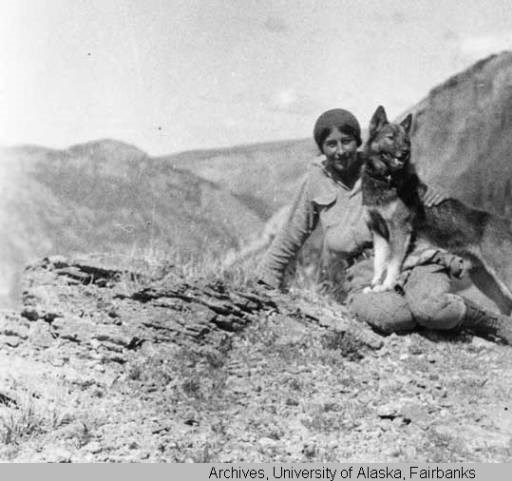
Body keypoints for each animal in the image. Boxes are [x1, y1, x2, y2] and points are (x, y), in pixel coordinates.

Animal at [362, 106, 512, 316]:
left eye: (406, 141)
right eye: (390, 137)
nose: (405, 153)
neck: (385, 180)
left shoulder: (399, 232)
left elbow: (392, 264)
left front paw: (386, 286)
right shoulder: (378, 233)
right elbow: (379, 264)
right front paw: (375, 285)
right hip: (485, 280)